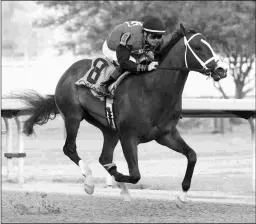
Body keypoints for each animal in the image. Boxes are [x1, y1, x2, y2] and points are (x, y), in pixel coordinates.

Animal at [13, 24, 227, 205]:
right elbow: (135, 175)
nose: (221, 70)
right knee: (70, 149)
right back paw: (89, 182)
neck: (153, 90)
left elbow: (192, 156)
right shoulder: (128, 137)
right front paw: (119, 181)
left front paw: (182, 195)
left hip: (108, 129)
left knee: (104, 157)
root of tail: (68, 72)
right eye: (198, 47)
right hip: (73, 116)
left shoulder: (165, 134)